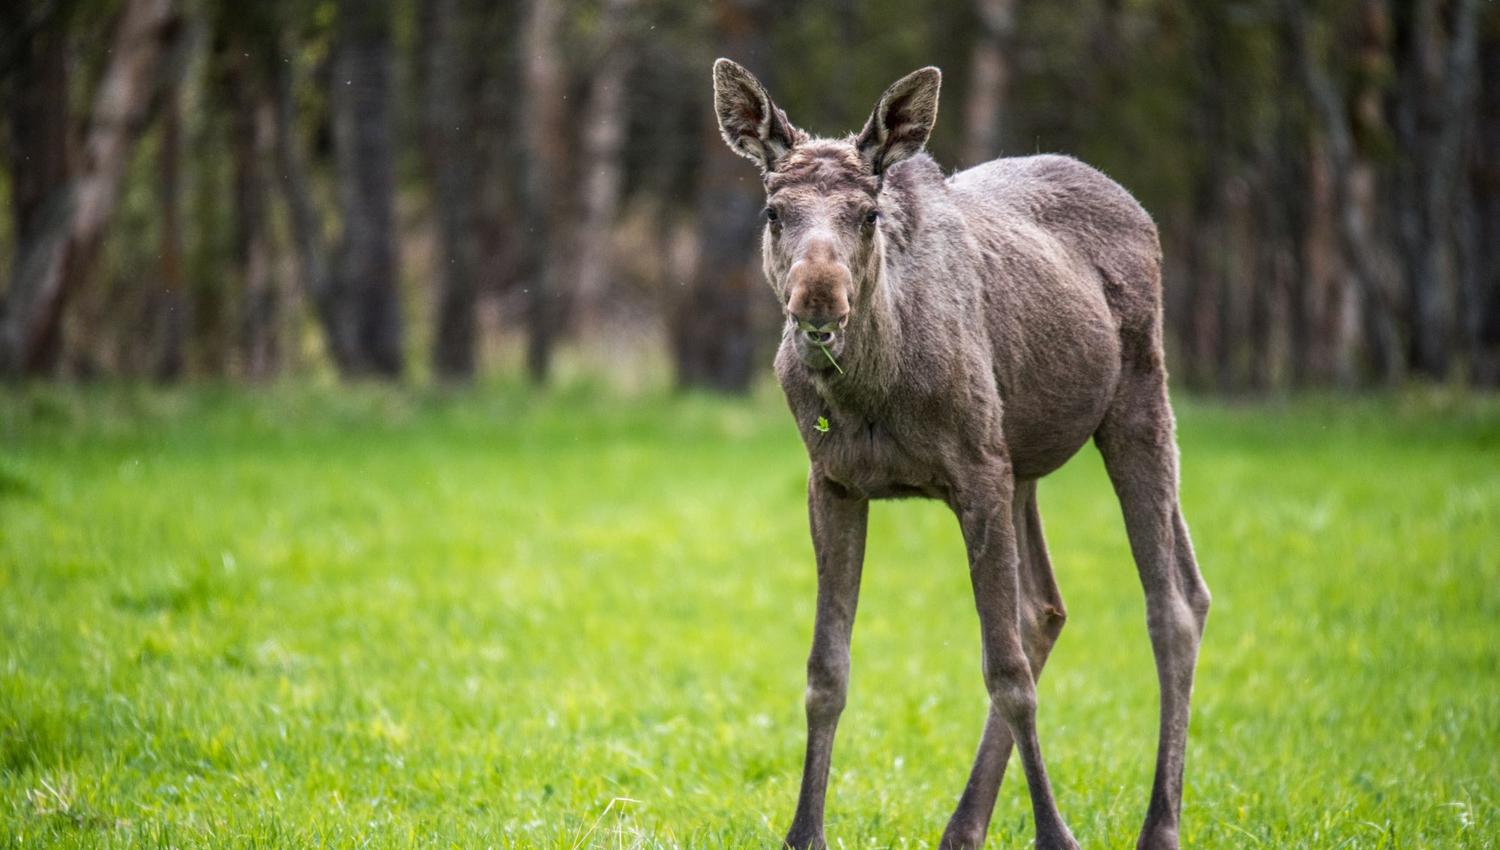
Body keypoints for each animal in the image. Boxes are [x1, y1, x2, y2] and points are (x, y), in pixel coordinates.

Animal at [709, 59, 1212, 850]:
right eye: (773, 212)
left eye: (868, 213)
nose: (817, 299)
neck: (873, 390)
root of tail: (1138, 208)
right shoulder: (834, 483)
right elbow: (826, 670)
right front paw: (803, 832)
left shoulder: (976, 474)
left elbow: (1005, 672)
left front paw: (1056, 834)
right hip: (1023, 464)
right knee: (1050, 607)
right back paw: (964, 825)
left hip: (1138, 399)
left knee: (1173, 605)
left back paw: (1159, 824)